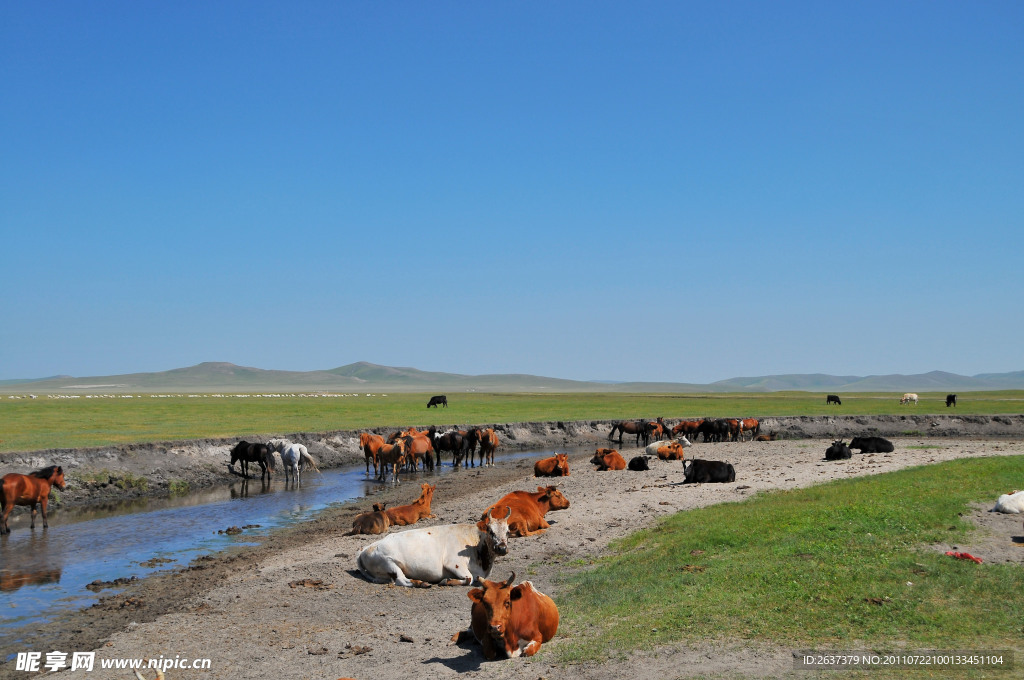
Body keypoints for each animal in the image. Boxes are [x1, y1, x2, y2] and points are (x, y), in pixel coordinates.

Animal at [356, 503, 512, 589]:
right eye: (491, 531)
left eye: (508, 532)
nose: (502, 548)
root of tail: (365, 549)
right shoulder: (453, 563)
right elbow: (469, 579)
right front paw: (447, 581)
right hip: (389, 563)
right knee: (401, 580)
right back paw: (422, 583)